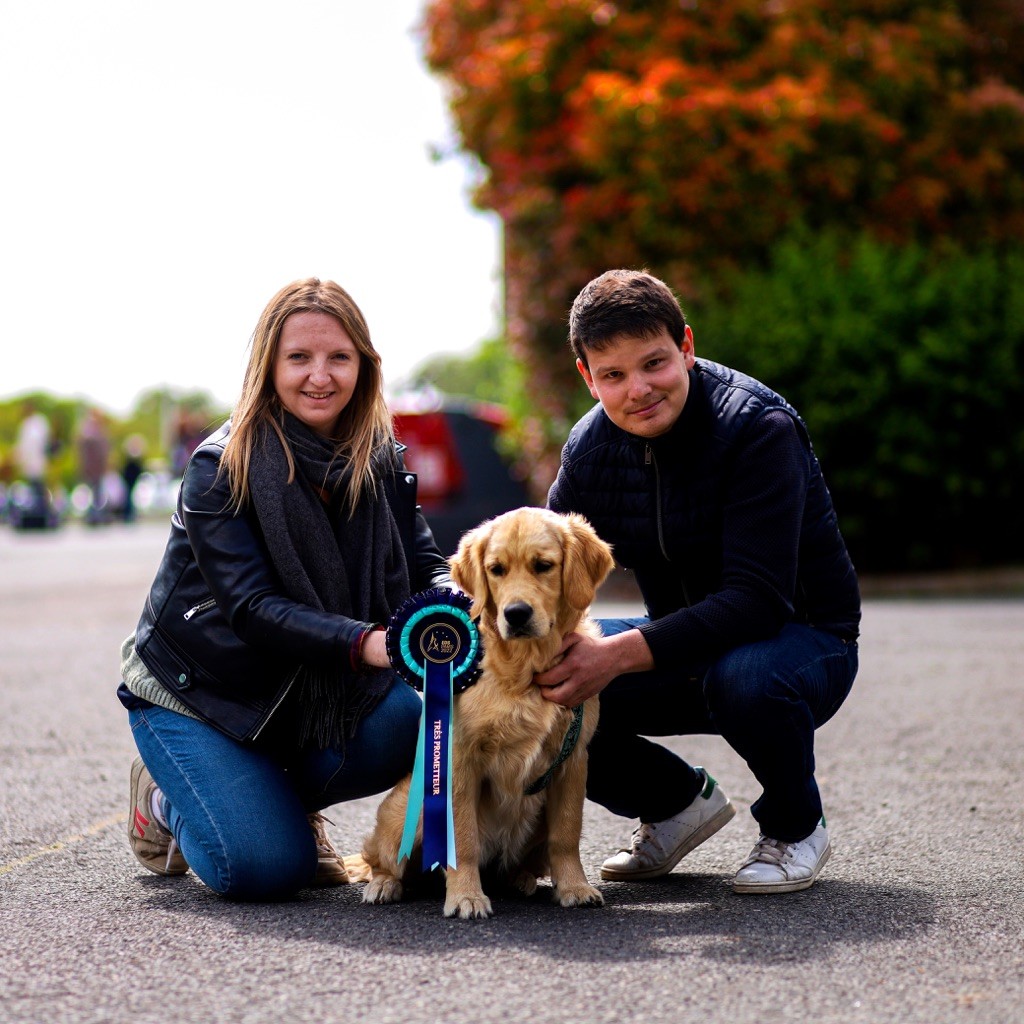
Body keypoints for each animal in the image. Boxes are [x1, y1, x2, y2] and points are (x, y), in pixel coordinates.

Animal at [348, 507, 610, 917]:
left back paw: (520, 880)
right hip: (404, 808)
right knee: (383, 858)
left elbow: (566, 834)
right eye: (496, 569)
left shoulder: (573, 759)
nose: (516, 614)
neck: (524, 672)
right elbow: (463, 840)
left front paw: (575, 887)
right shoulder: (458, 761)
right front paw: (466, 897)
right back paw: (384, 885)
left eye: (543, 566)